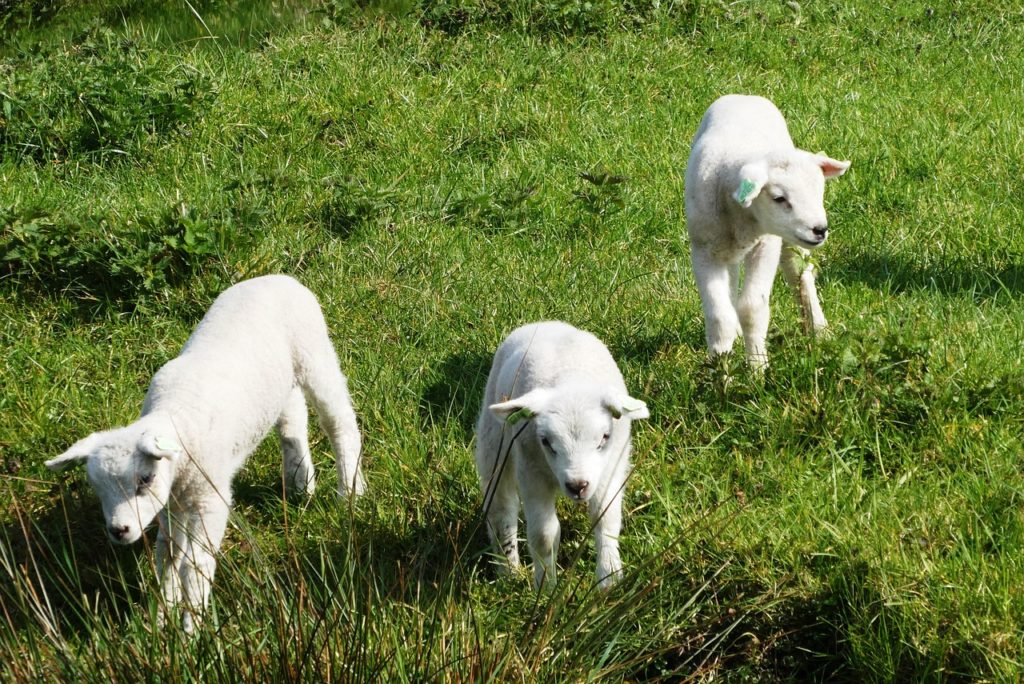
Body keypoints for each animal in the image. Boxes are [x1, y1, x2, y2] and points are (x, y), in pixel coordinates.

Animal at [48, 272, 368, 630]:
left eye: (145, 479)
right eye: (97, 488)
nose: (120, 530)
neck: (177, 413)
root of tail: (278, 277)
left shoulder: (209, 498)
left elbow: (195, 565)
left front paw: (191, 628)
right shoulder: (173, 503)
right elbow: (168, 555)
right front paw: (162, 618)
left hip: (314, 353)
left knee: (339, 423)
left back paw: (350, 491)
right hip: (278, 382)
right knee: (292, 420)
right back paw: (300, 483)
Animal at [473, 323, 647, 589]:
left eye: (604, 438)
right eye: (546, 441)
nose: (578, 485)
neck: (571, 380)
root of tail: (547, 322)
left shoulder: (610, 468)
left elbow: (605, 518)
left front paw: (609, 579)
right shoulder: (532, 472)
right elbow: (544, 536)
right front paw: (545, 587)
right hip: (494, 441)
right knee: (501, 508)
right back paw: (508, 571)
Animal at [684, 94, 851, 368]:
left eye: (820, 191)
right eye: (779, 198)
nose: (820, 230)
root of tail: (744, 95)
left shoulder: (766, 244)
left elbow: (752, 307)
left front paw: (757, 368)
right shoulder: (703, 249)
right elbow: (720, 316)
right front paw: (720, 367)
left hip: (789, 242)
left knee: (801, 278)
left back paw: (820, 330)